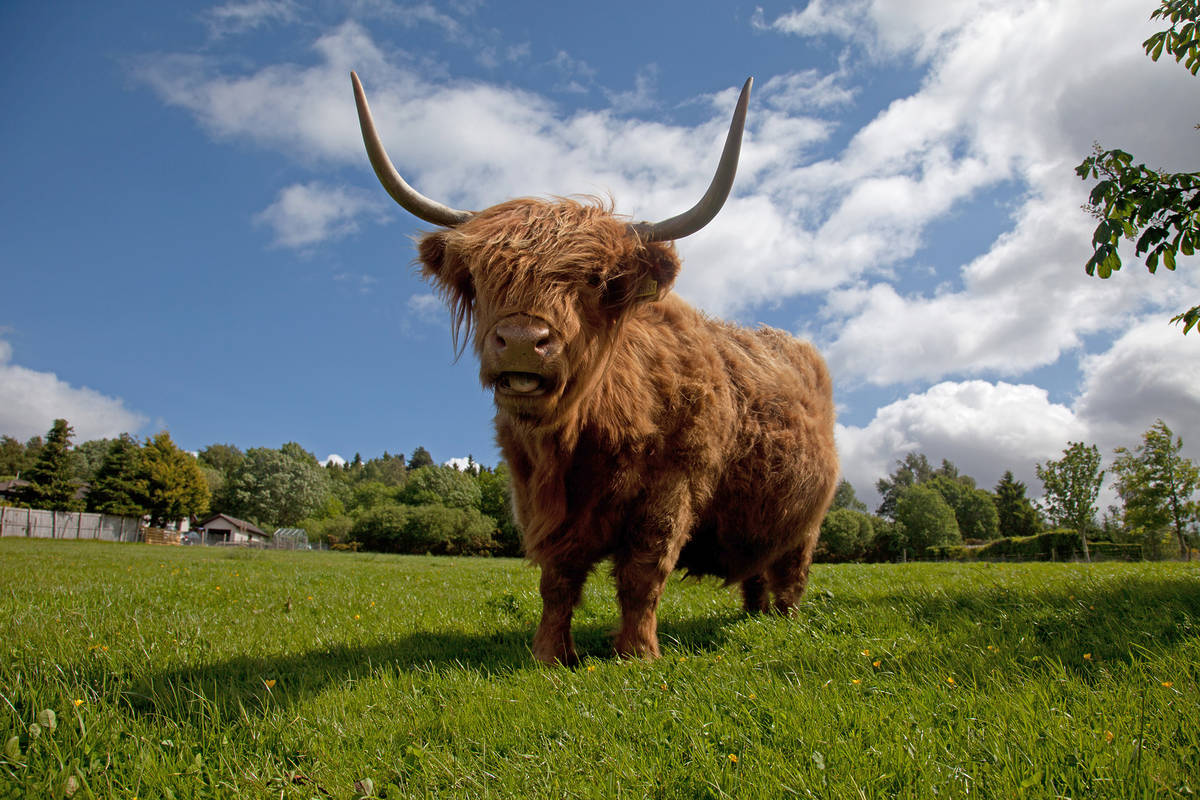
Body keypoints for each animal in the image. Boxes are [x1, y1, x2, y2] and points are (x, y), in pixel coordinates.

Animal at [351, 72, 839, 665]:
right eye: (484, 276)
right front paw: (549, 654)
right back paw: (753, 615)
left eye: (597, 280)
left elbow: (642, 574)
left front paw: (638, 652)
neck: (579, 440)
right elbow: (558, 579)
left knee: (791, 574)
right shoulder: (538, 500)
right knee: (756, 576)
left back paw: (783, 624)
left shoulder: (672, 488)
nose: (522, 341)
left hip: (807, 523)